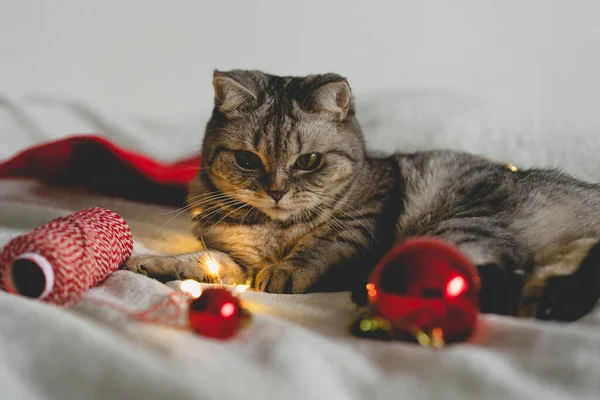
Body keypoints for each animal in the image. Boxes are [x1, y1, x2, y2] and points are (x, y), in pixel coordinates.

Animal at [126, 68, 600, 318]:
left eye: (308, 161)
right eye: (247, 160)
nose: (276, 192)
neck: (273, 232)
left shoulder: (356, 231)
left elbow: (316, 252)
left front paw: (286, 271)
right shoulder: (233, 259)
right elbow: (201, 261)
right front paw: (150, 262)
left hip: (458, 224)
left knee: (481, 278)